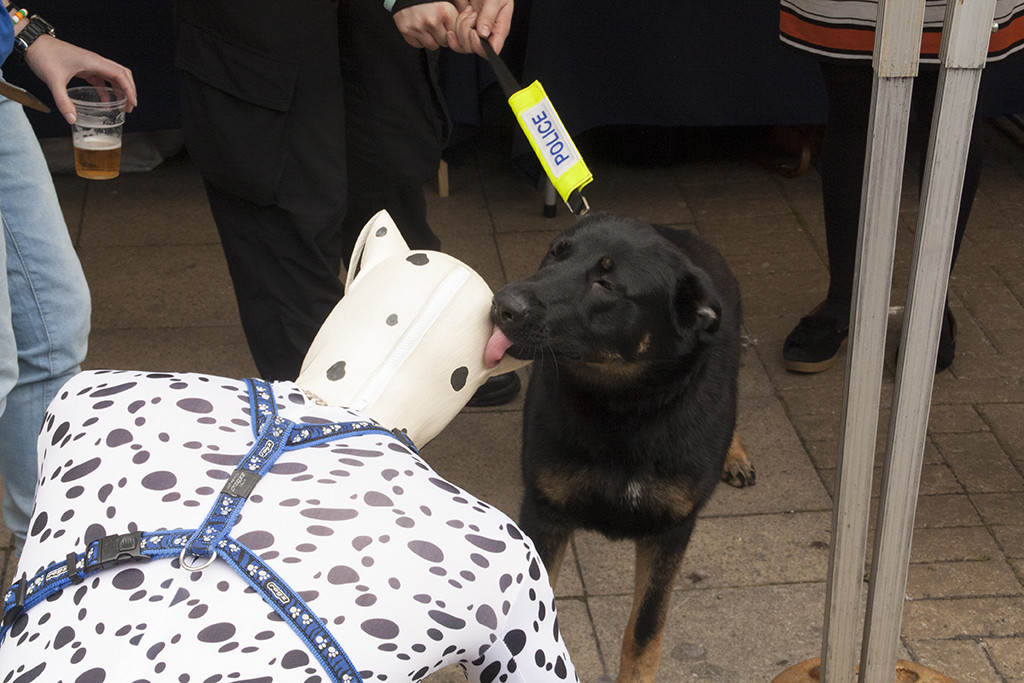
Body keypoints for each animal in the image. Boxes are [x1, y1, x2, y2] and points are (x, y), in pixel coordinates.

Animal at [491, 210, 757, 679]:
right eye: (555, 253)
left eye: (607, 284)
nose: (501, 304)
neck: (624, 409)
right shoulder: (545, 512)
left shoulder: (670, 532)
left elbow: (645, 630)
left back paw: (735, 453)